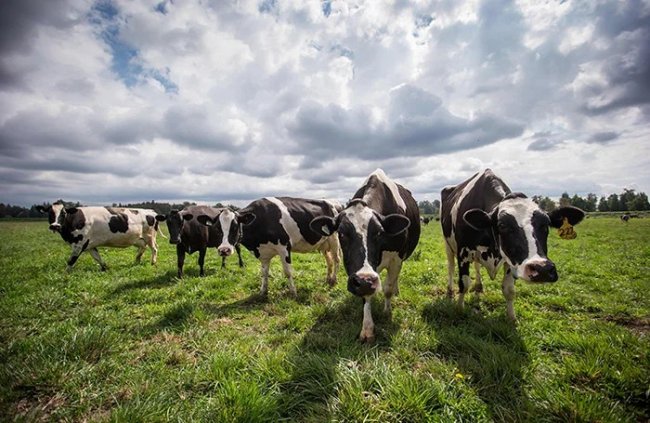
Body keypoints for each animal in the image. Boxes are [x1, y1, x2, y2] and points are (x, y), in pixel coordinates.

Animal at [196, 197, 340, 296]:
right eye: (216, 228)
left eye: (235, 226)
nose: (224, 250)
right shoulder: (263, 252)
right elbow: (264, 272)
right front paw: (263, 291)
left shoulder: (284, 247)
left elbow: (287, 272)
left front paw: (293, 292)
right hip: (323, 243)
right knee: (329, 261)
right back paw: (328, 279)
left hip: (334, 240)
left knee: (336, 260)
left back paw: (333, 280)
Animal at [310, 168, 420, 342]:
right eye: (341, 233)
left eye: (379, 232)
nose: (364, 280)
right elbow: (366, 297)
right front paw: (367, 329)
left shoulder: (397, 259)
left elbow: (388, 288)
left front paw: (387, 312)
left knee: (393, 280)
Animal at [440, 169, 584, 322]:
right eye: (502, 225)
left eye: (546, 225)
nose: (542, 269)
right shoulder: (463, 253)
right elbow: (464, 283)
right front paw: (459, 310)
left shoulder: (510, 260)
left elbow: (509, 290)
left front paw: (511, 318)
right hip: (448, 245)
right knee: (451, 267)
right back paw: (450, 290)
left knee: (477, 265)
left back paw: (479, 286)